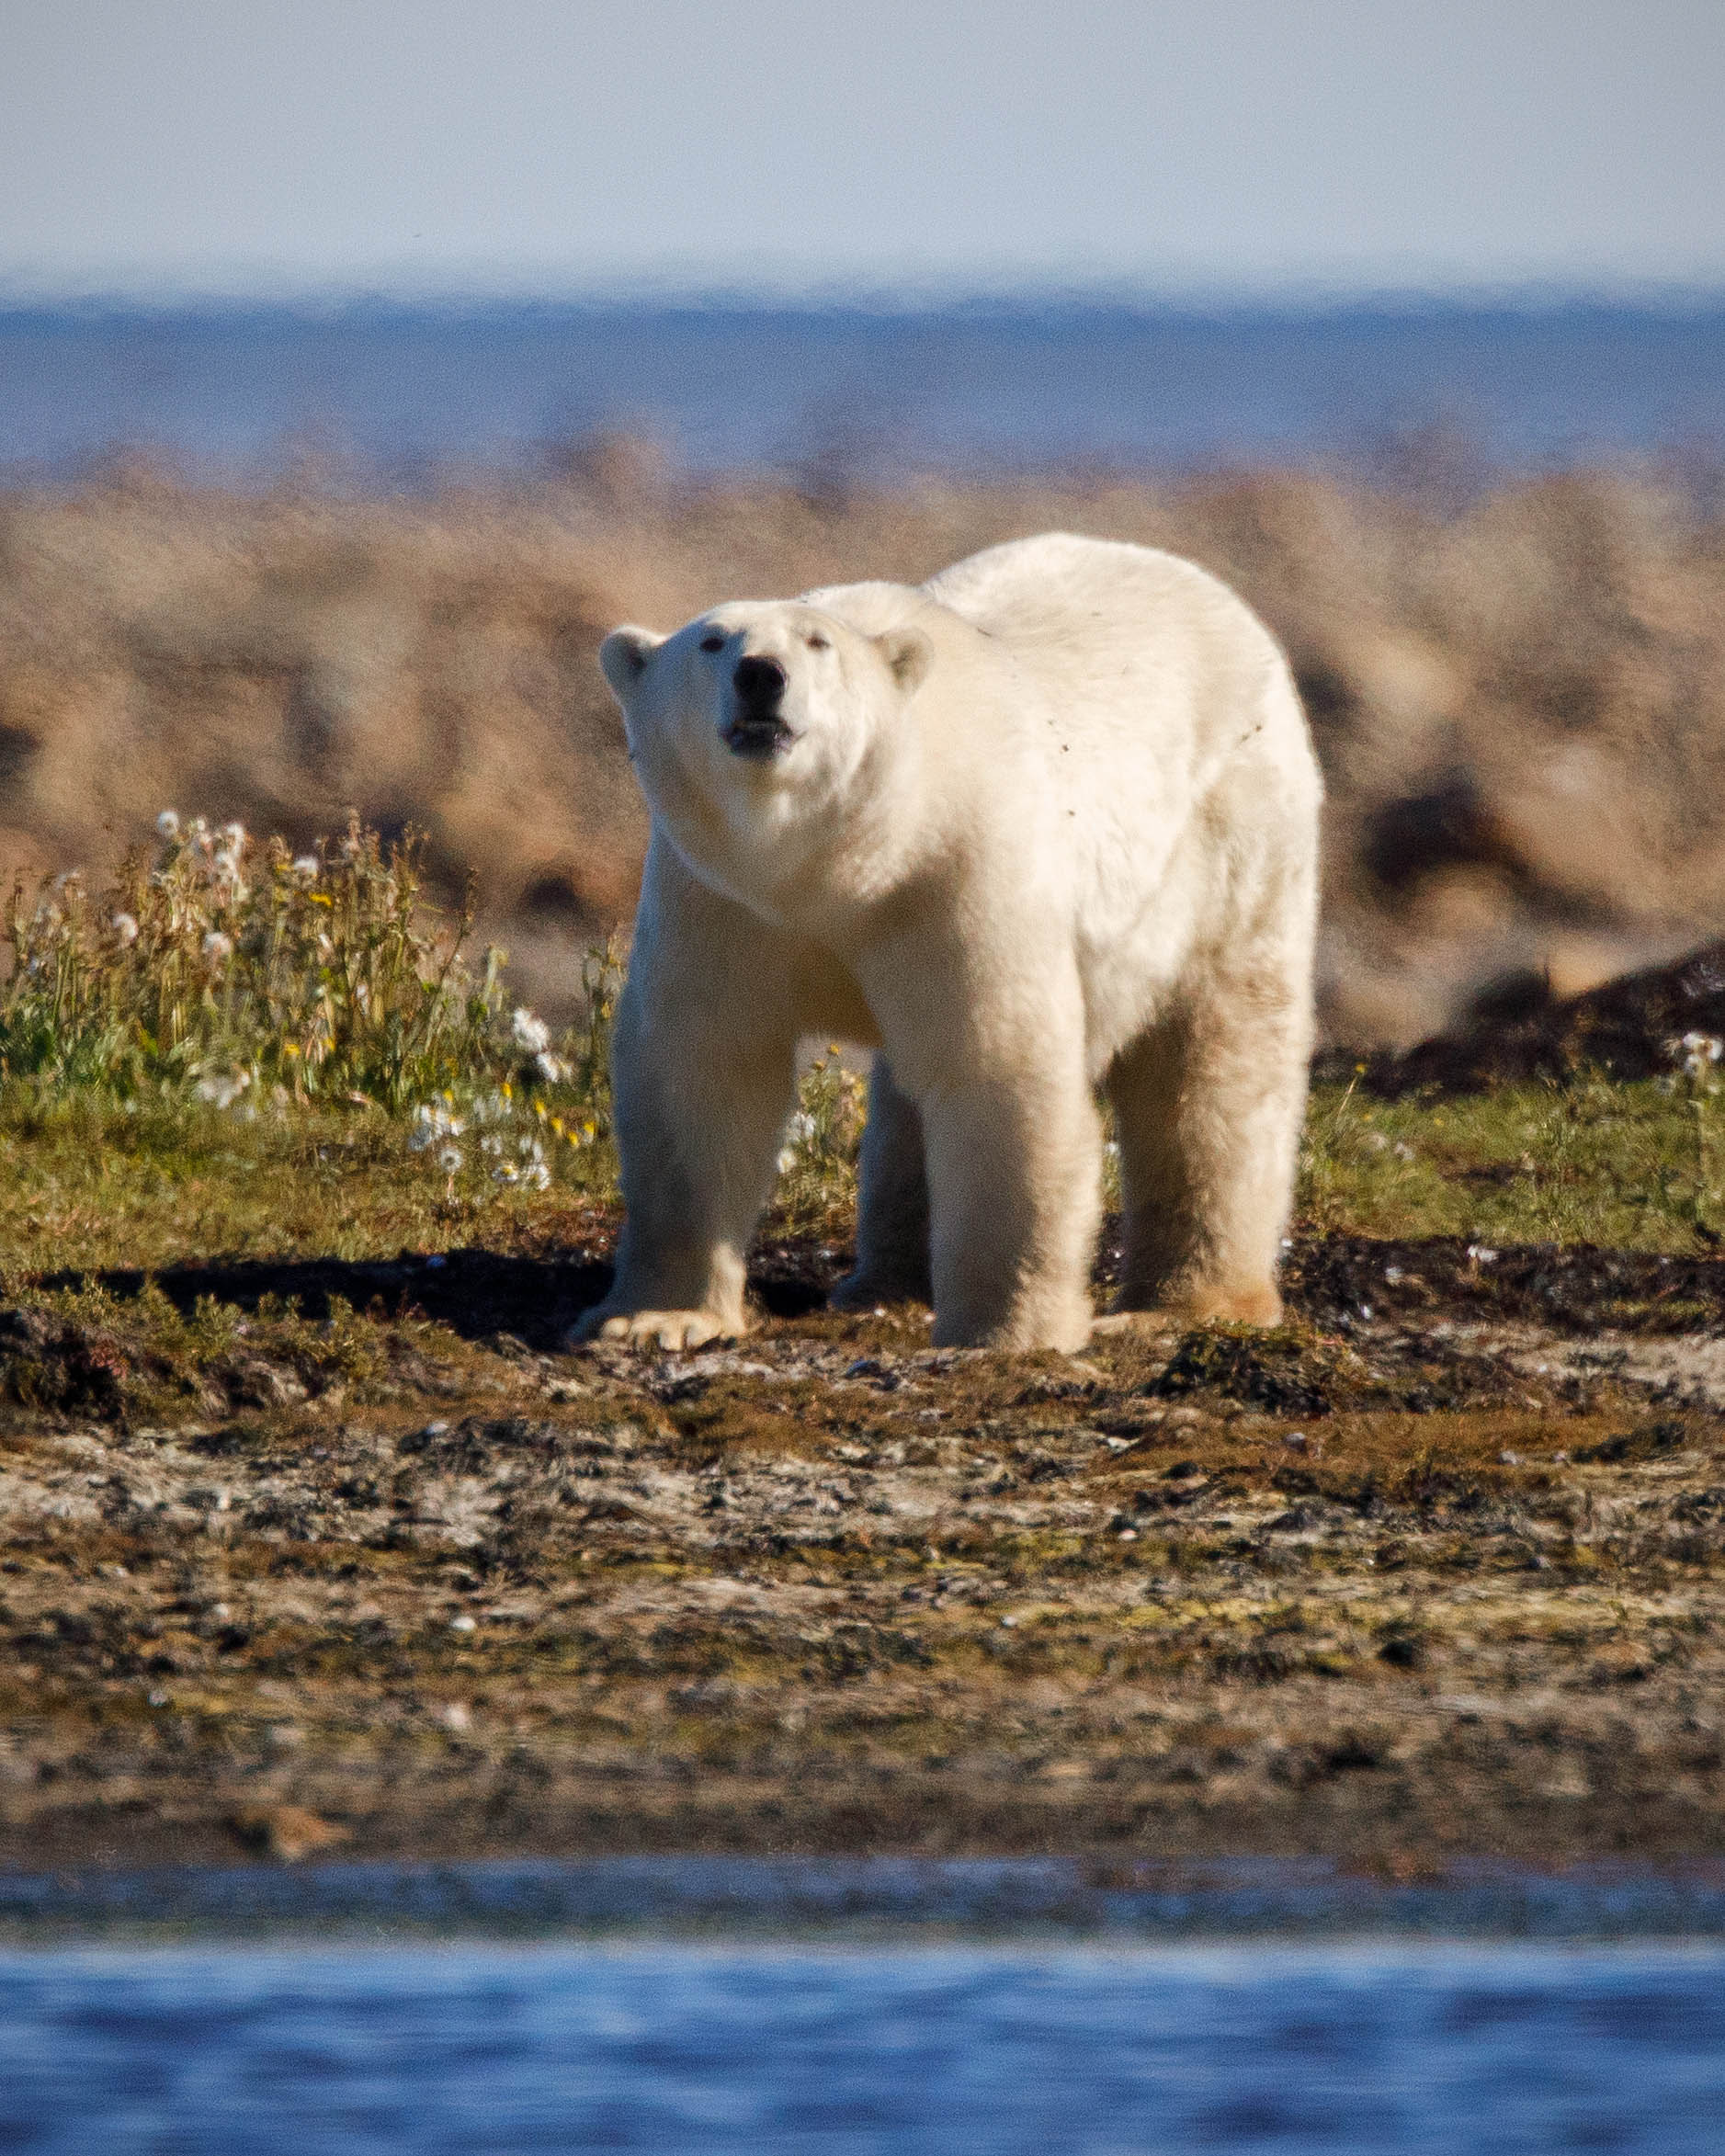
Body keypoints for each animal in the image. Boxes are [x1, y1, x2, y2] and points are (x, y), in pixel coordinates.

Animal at [577, 532, 1319, 1354]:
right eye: (711, 642)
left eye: (816, 644)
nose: (760, 676)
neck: (841, 864)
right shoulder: (721, 898)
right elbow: (704, 1066)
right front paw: (656, 1317)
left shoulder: (958, 868)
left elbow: (995, 1067)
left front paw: (1006, 1332)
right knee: (905, 1106)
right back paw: (885, 1284)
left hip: (1231, 845)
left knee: (1213, 1068)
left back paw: (1189, 1301)